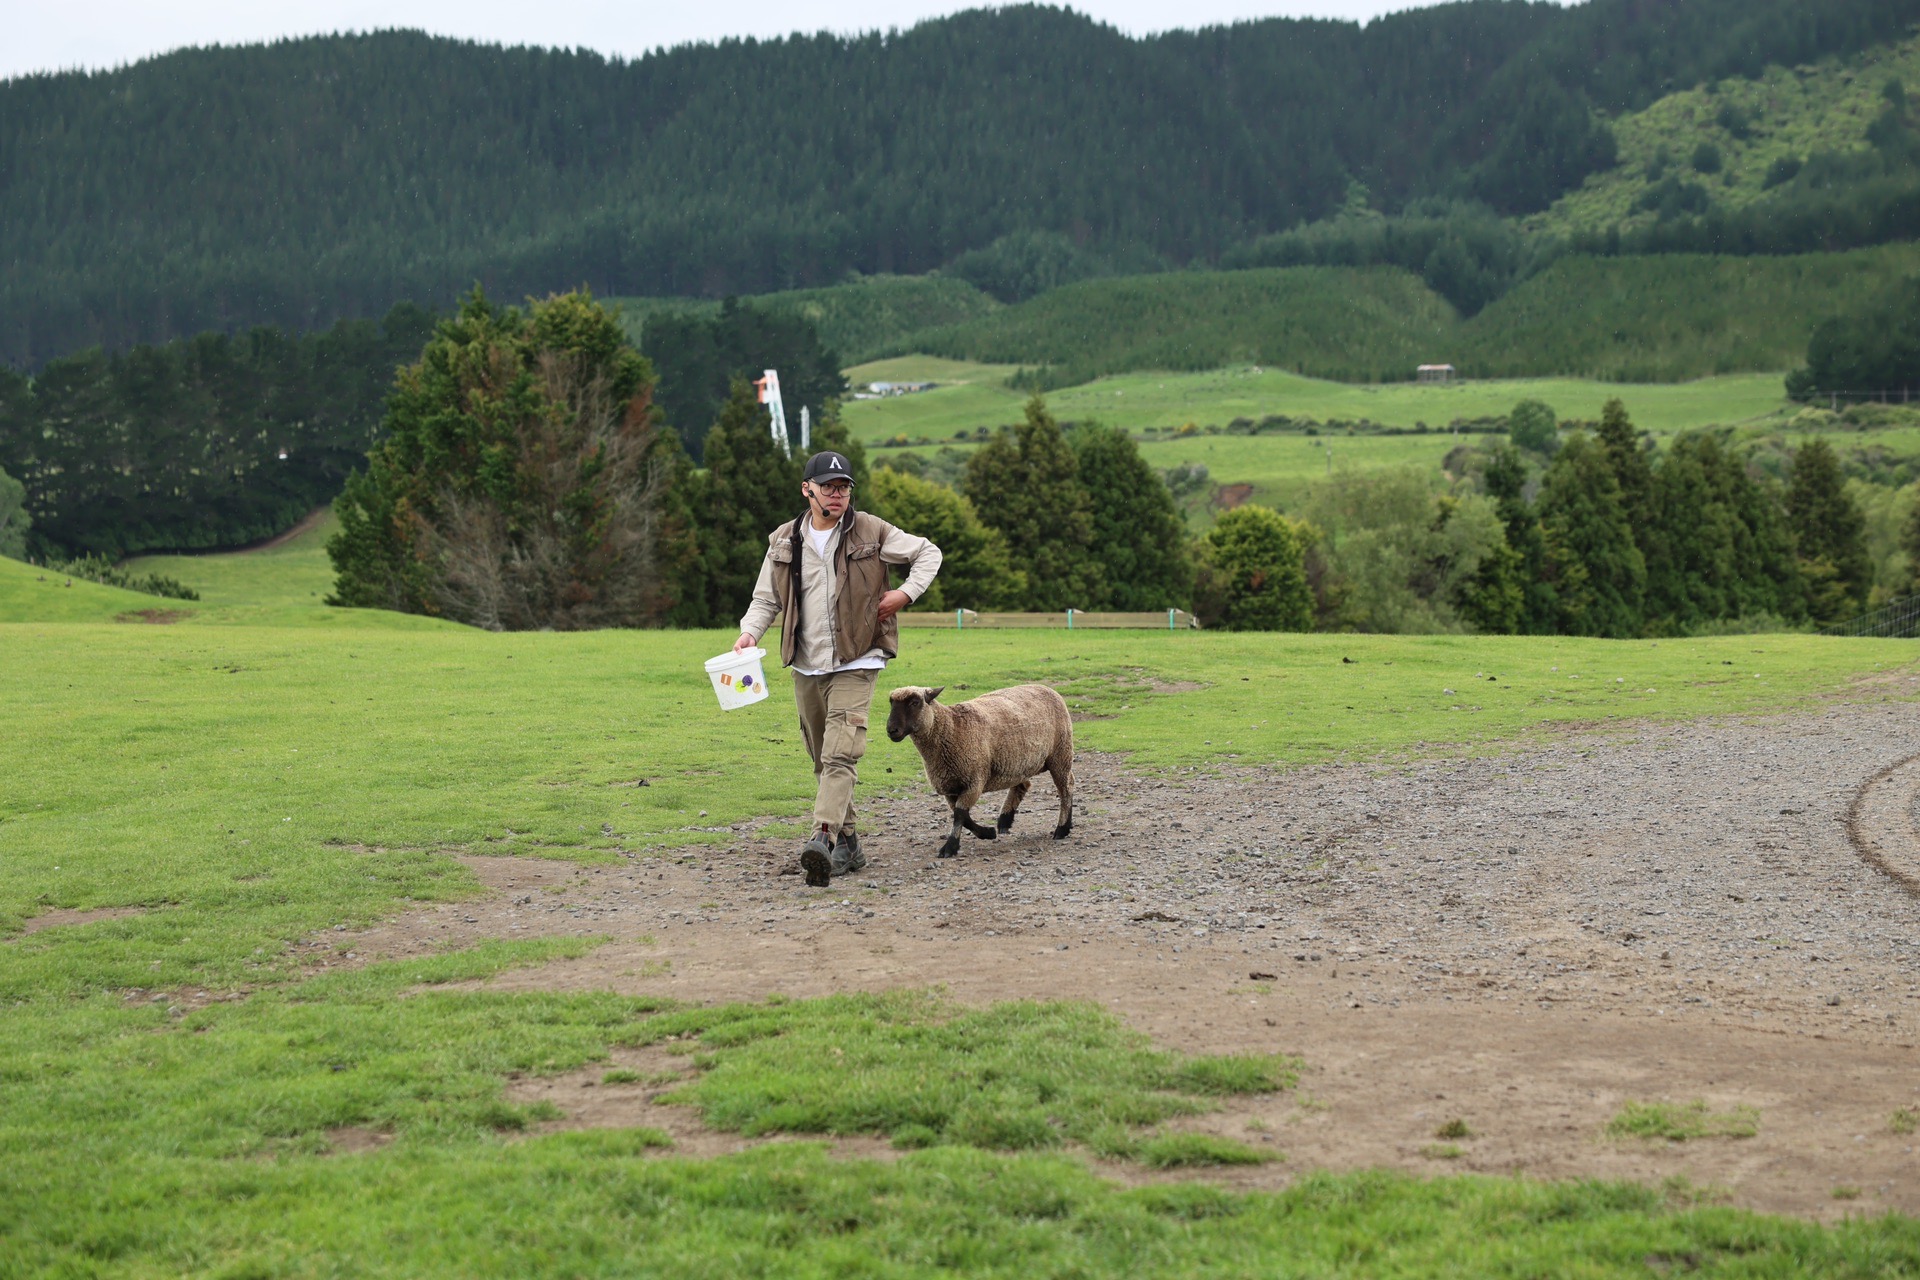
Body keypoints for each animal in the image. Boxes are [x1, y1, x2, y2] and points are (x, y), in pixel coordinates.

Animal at [879, 679, 1067, 859]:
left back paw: (1062, 829)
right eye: (891, 703)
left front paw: (950, 847)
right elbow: (962, 816)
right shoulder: (950, 787)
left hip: (1060, 753)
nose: (891, 730)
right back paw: (1005, 820)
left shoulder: (974, 781)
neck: (952, 728)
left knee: (1066, 788)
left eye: (915, 702)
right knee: (1023, 784)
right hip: (1018, 762)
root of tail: (1046, 688)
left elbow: (960, 815)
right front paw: (987, 832)